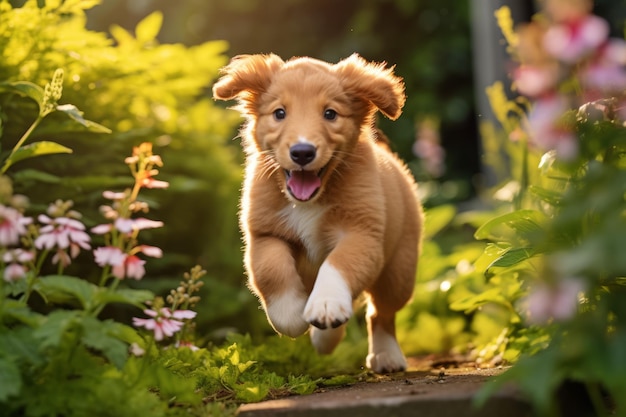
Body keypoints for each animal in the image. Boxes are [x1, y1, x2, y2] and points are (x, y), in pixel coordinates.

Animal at [212, 53, 422, 372]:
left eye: (330, 114)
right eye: (280, 113)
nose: (302, 152)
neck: (308, 202)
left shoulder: (362, 234)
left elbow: (338, 263)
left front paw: (326, 304)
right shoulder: (264, 234)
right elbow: (272, 269)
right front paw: (290, 314)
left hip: (398, 273)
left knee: (380, 313)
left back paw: (386, 354)